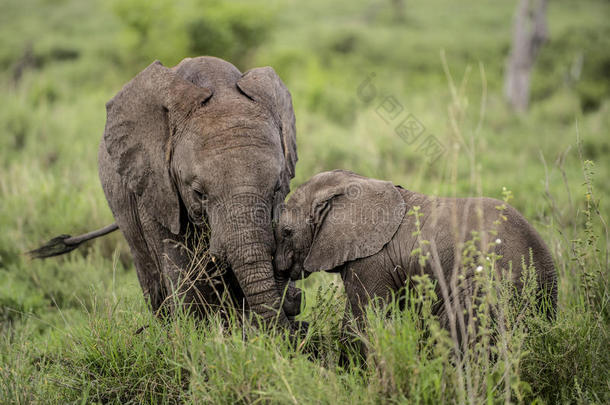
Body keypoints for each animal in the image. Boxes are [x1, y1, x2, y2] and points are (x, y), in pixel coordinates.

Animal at [30, 56, 302, 326]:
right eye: (199, 193)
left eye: (278, 188)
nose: (296, 297)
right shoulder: (156, 185)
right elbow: (182, 270)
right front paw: (198, 330)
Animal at [274, 169, 552, 348]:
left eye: (286, 232)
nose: (297, 297)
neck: (353, 181)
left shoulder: (372, 261)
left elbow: (362, 323)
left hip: (488, 284)